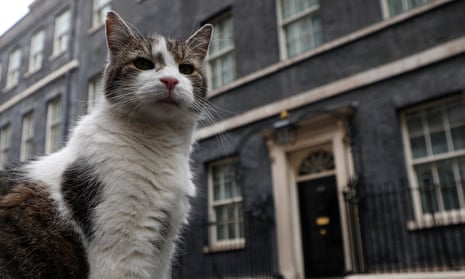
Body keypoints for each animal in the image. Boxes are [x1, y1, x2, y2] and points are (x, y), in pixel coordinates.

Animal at [0, 10, 212, 279]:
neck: (161, 143)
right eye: (143, 63)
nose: (171, 81)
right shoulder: (122, 250)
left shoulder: (162, 252)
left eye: (186, 69)